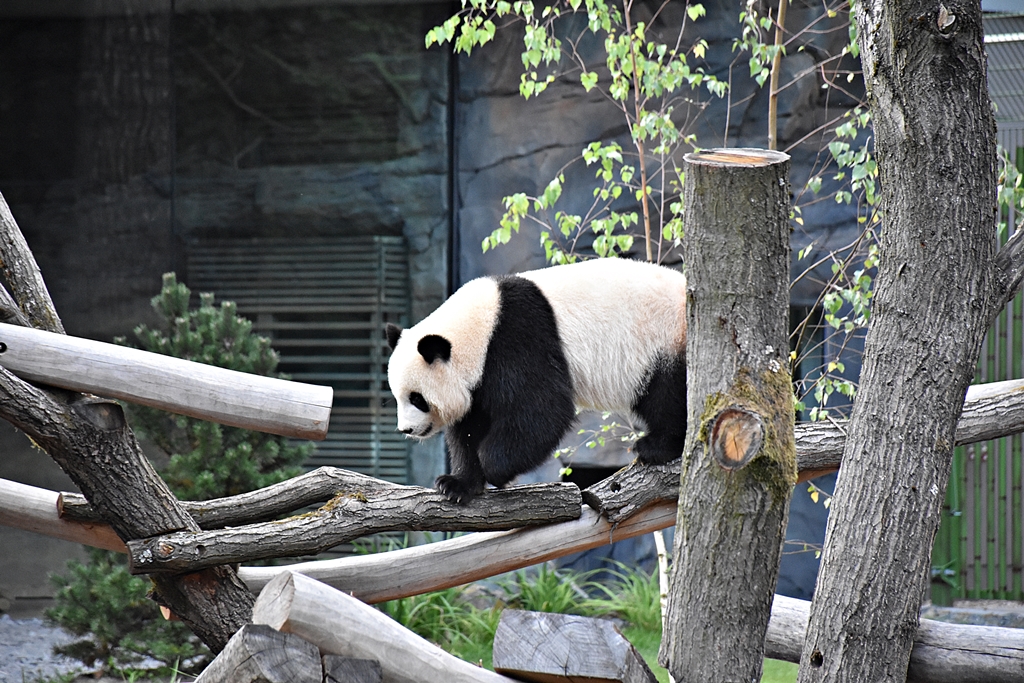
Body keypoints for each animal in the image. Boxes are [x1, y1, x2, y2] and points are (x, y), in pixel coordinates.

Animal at [385, 258, 688, 504]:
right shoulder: (480, 377)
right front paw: (457, 485)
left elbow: (542, 410)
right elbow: (471, 427)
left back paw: (655, 446)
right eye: (397, 397)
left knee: (668, 395)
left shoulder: (518, 337)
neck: (480, 326)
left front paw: (494, 468)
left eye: (417, 398)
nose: (406, 429)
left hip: (664, 341)